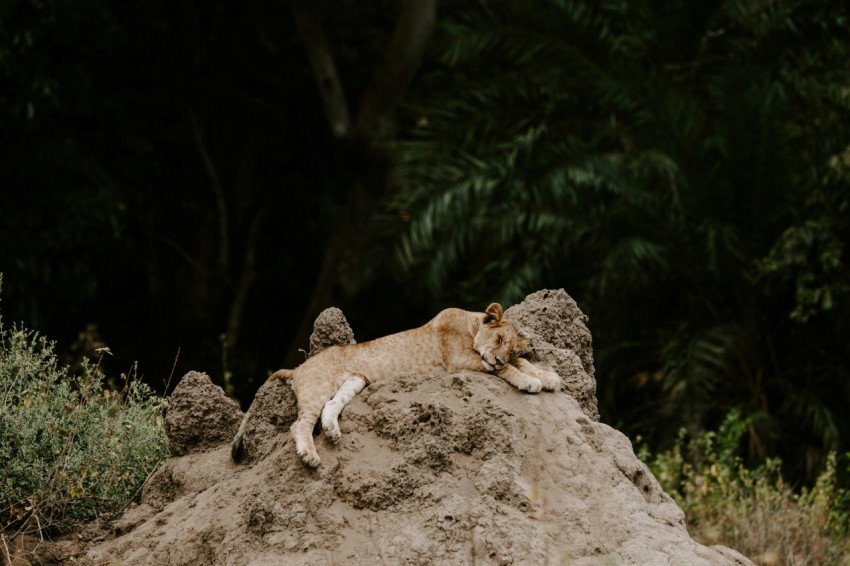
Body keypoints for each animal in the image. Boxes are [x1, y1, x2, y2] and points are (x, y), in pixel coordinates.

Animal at [235, 303, 560, 467]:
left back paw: (332, 431)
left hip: (355, 381)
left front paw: (548, 376)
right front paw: (530, 381)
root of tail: (298, 367)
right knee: (299, 423)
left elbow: (522, 363)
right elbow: (507, 370)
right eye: (499, 339)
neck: (471, 325)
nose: (499, 356)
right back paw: (309, 454)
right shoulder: (458, 359)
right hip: (317, 386)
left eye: (510, 347)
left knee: (331, 406)